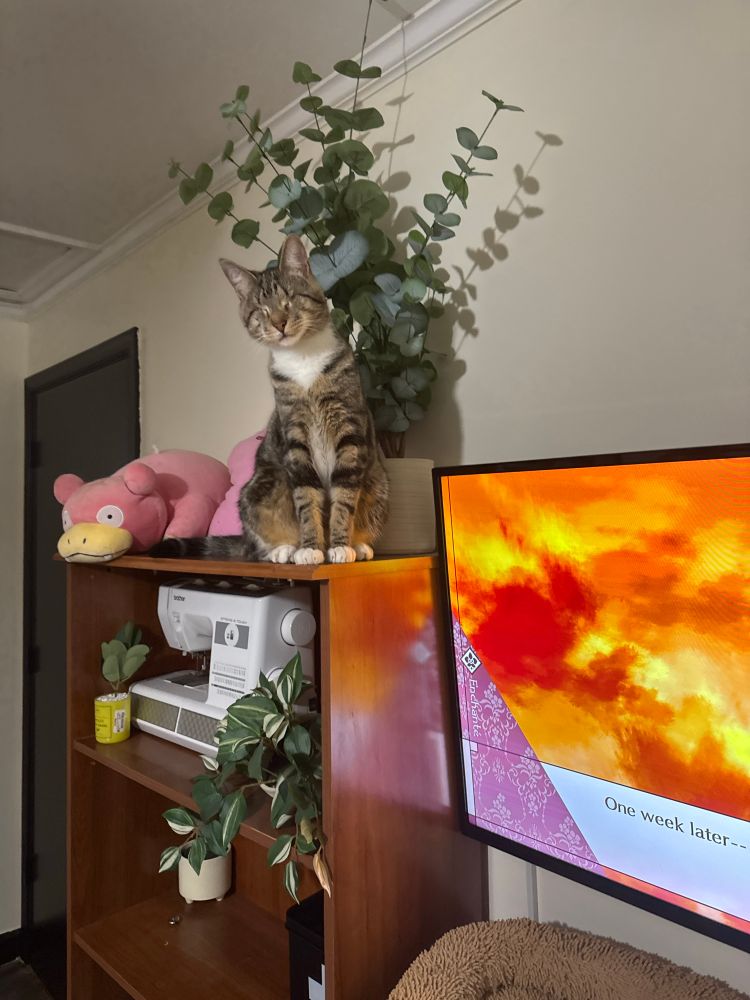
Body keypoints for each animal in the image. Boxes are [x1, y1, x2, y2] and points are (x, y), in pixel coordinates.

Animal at [153, 235, 389, 565]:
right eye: (261, 310)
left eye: (289, 298)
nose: (279, 323)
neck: (303, 360)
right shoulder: (295, 437)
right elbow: (305, 497)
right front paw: (311, 548)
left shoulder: (349, 429)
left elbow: (343, 496)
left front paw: (340, 545)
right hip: (261, 486)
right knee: (257, 543)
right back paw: (285, 549)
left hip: (378, 485)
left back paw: (359, 545)